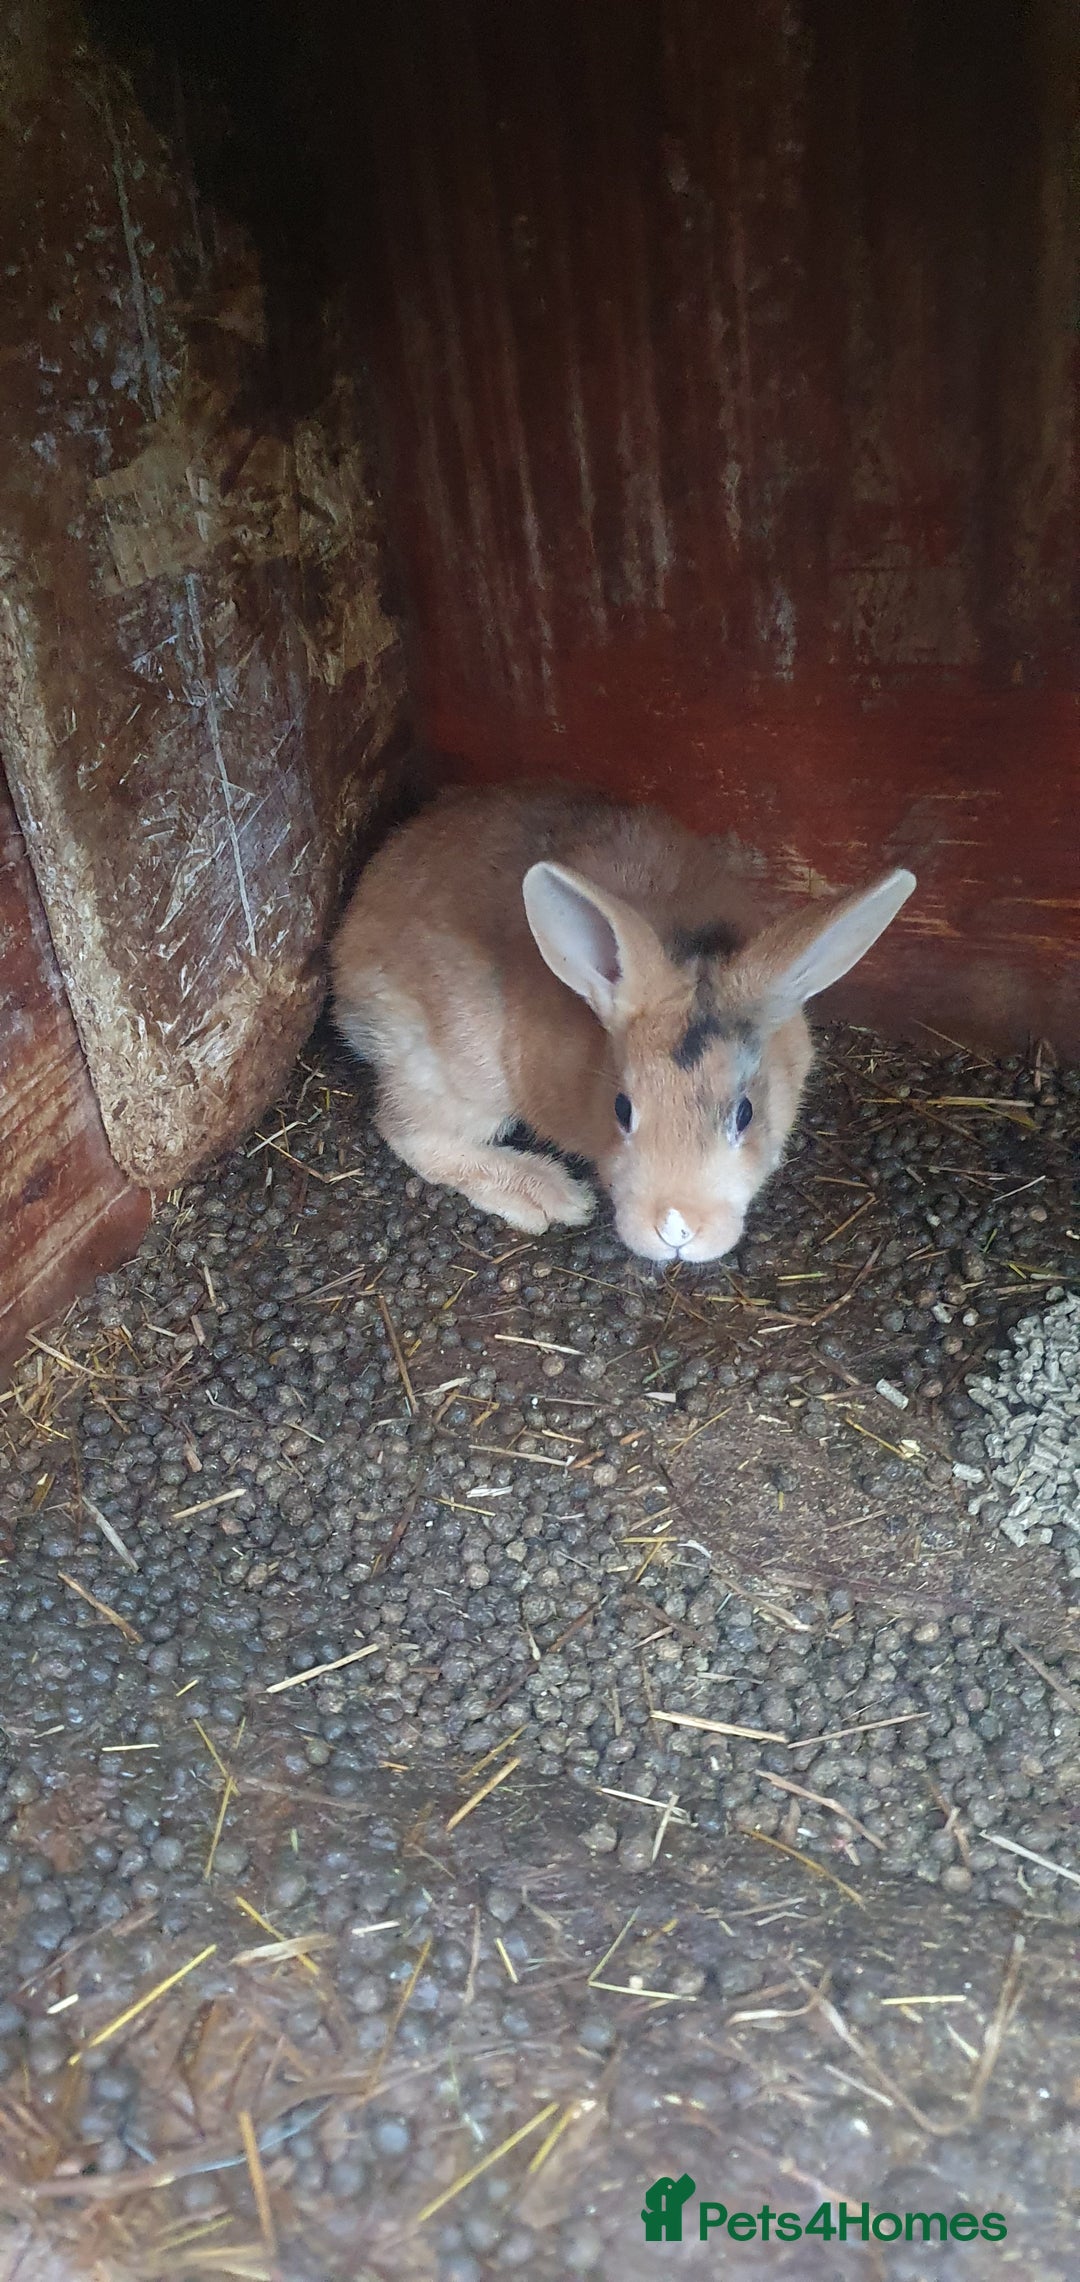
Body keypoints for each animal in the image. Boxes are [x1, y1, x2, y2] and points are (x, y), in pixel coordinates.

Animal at [330, 783, 915, 1264]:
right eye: (623, 1110)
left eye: (745, 1114)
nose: (676, 1229)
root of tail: (346, 945)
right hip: (461, 1070)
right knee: (409, 1131)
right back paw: (548, 1194)